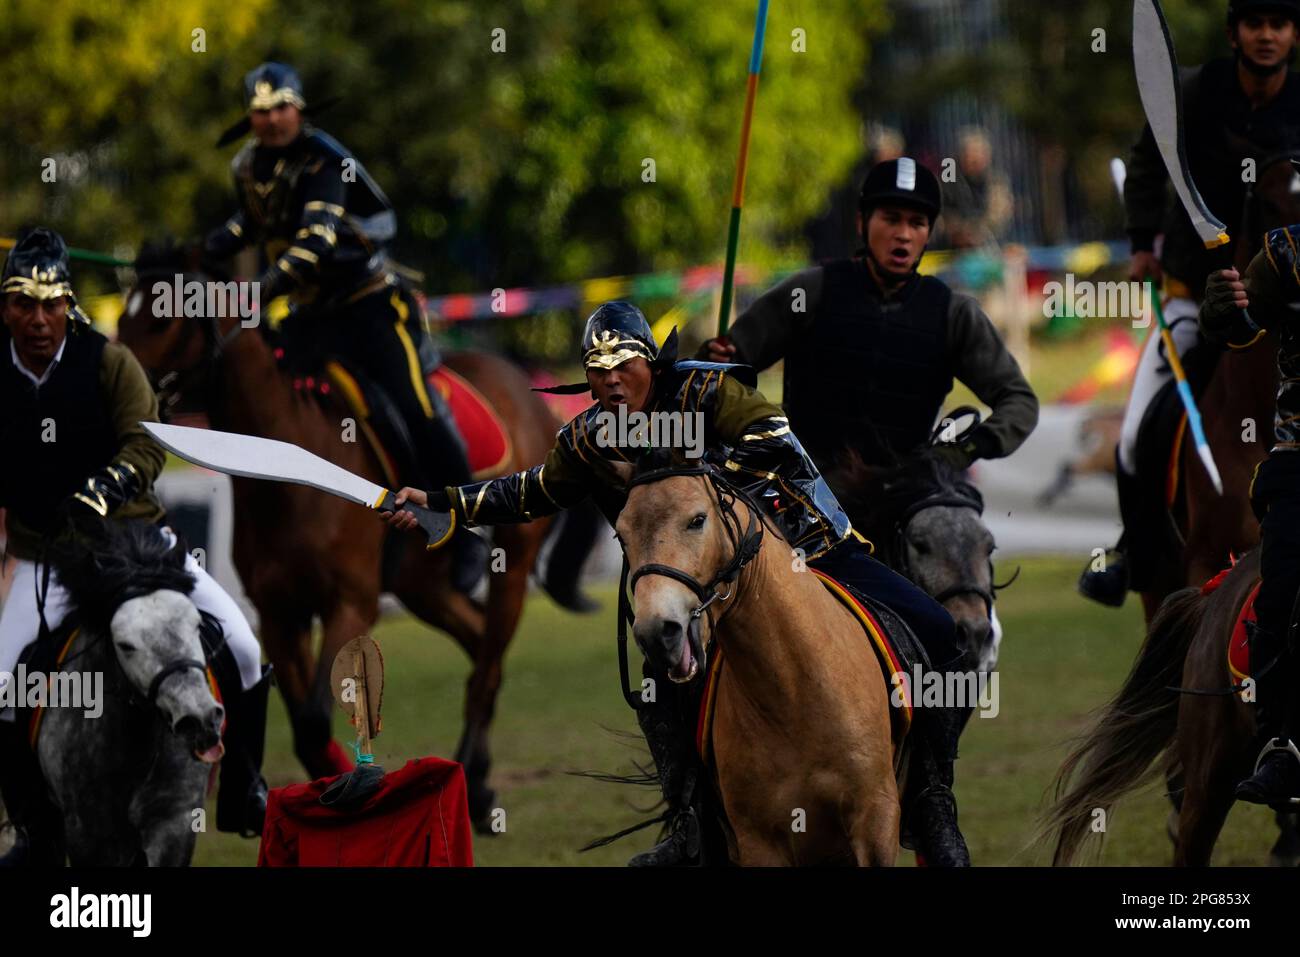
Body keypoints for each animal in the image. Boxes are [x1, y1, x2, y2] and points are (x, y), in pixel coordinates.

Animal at [115, 263, 569, 832]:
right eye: (124, 315)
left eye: (162, 319)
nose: (128, 394)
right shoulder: (278, 615)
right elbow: (304, 725)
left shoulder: (350, 604)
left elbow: (313, 718)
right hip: (422, 587)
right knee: (480, 645)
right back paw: (479, 783)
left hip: (513, 559)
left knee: (487, 665)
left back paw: (473, 782)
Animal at [611, 465, 899, 868]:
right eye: (622, 536)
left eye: (697, 520)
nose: (657, 633)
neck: (794, 694)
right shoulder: (758, 840)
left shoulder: (876, 820)